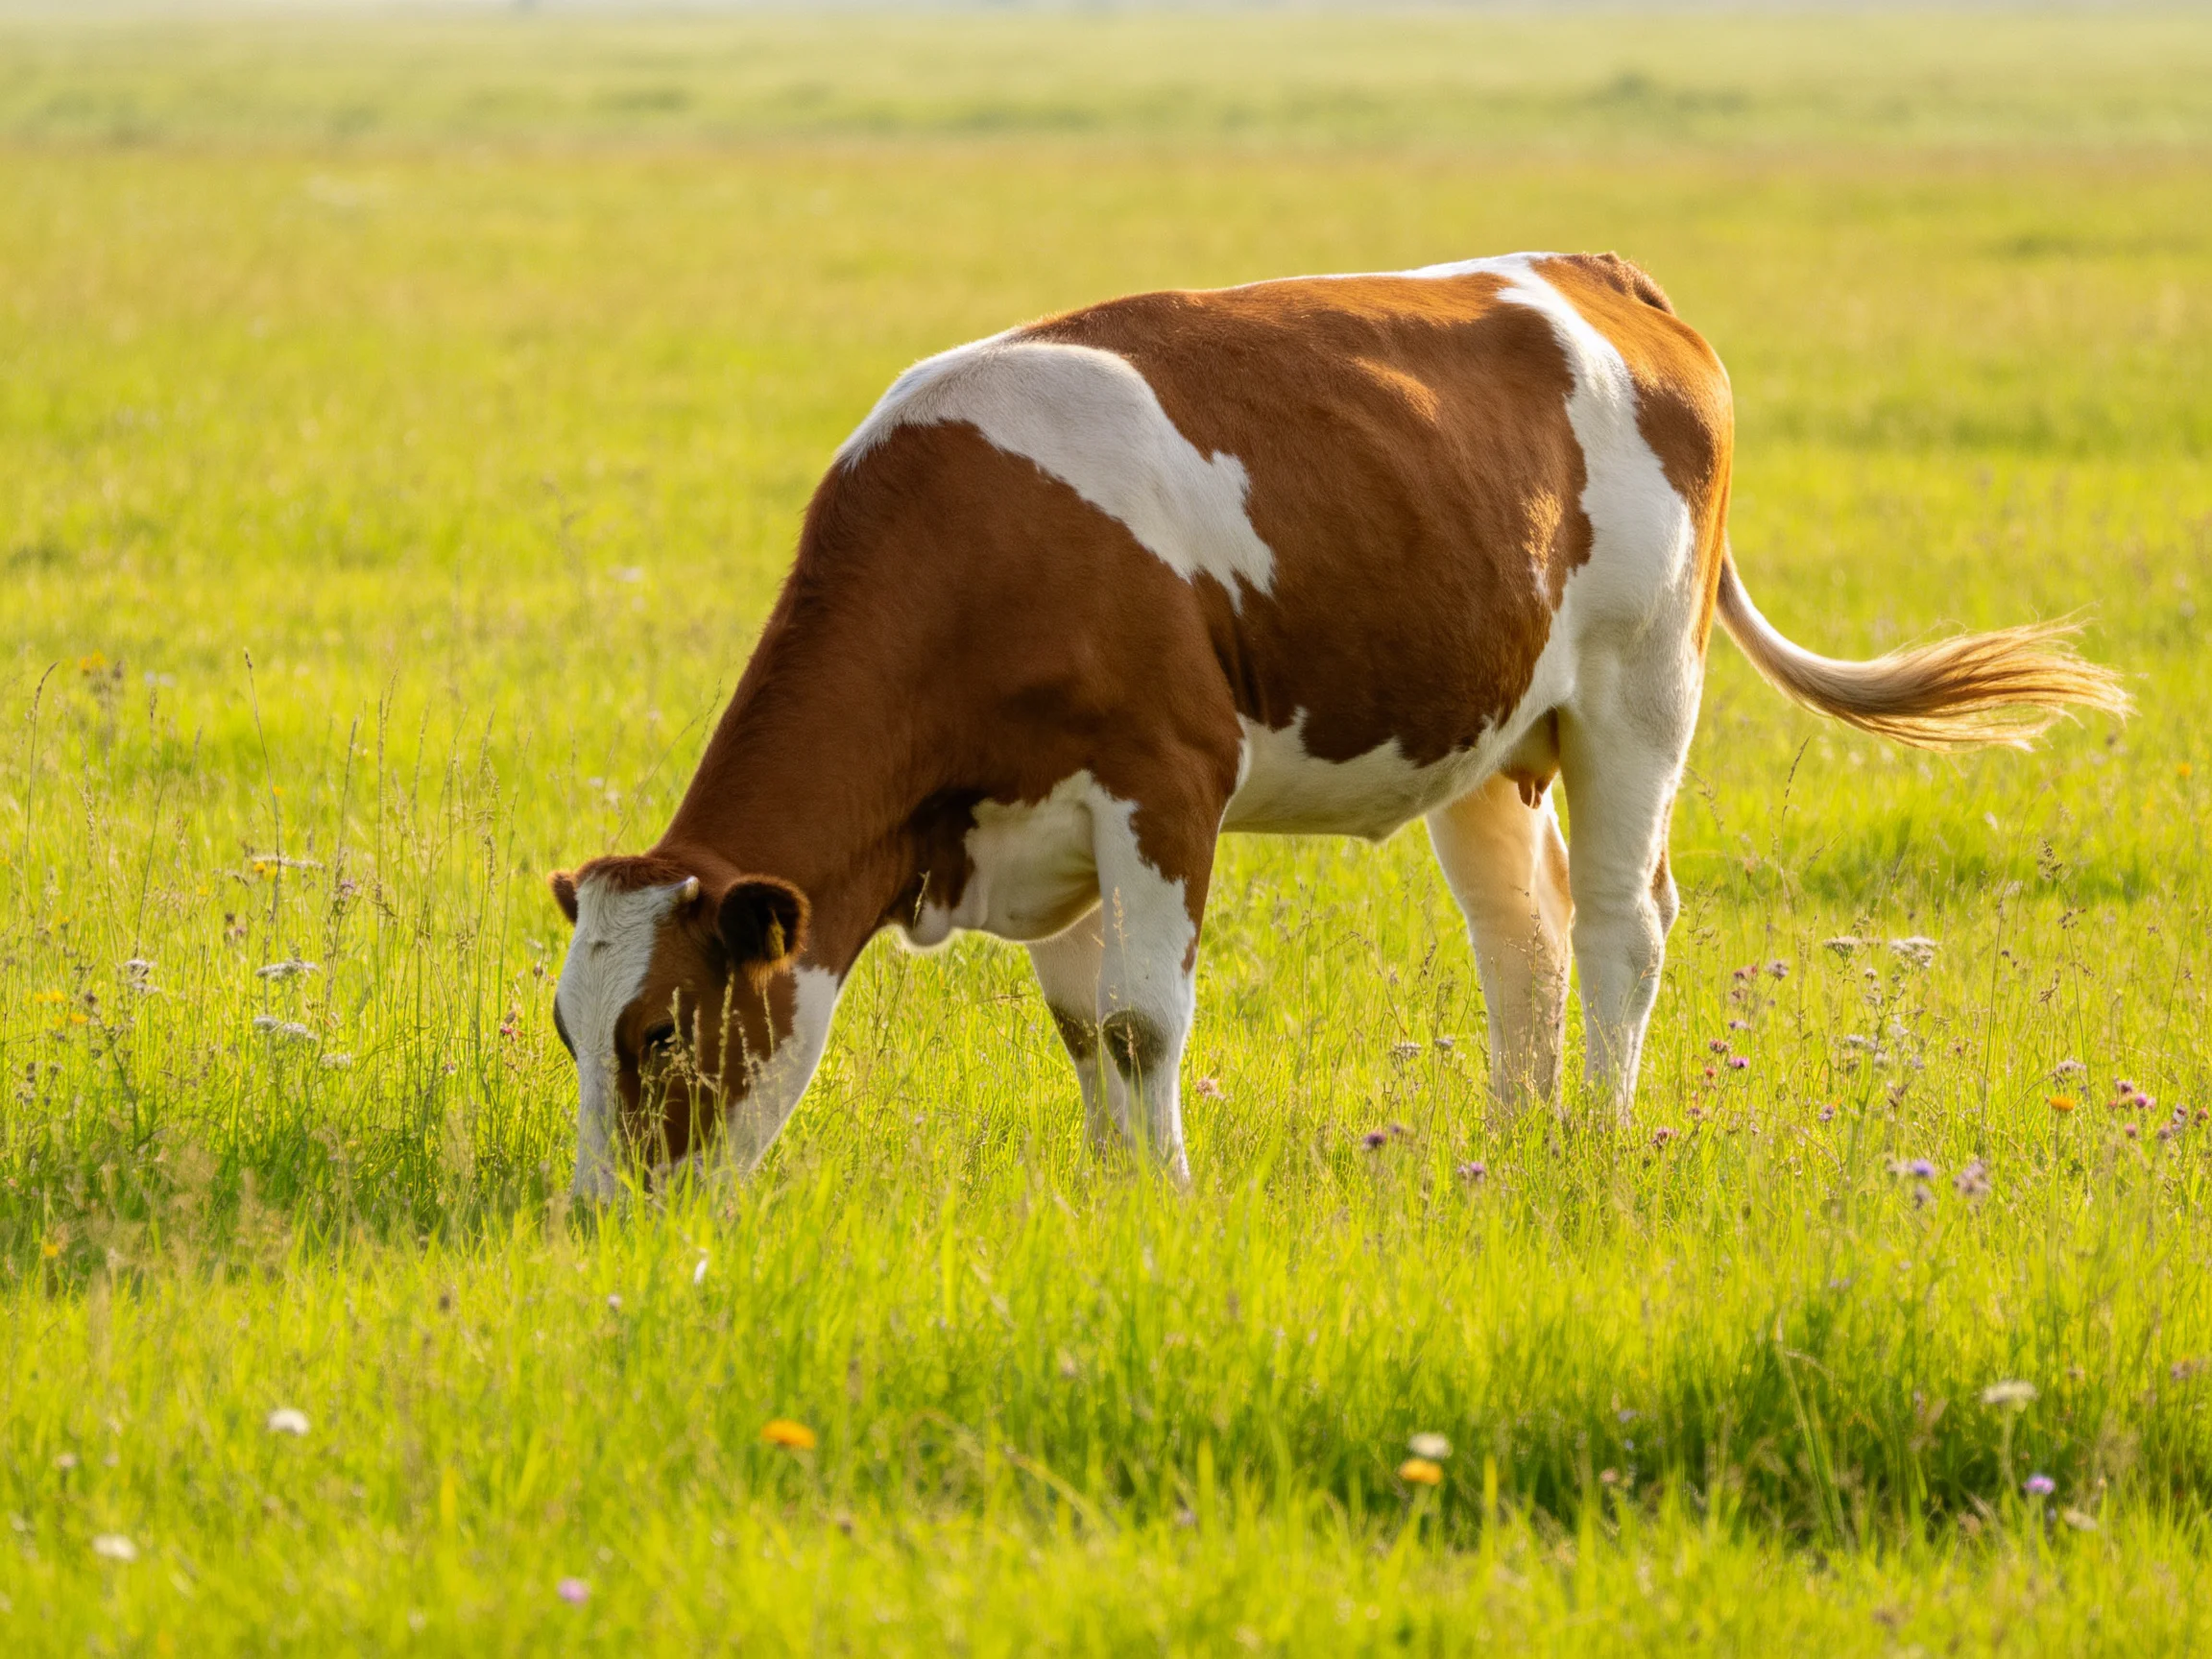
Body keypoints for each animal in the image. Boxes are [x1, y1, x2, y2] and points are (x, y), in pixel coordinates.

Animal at [549, 251, 2125, 1198]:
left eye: (663, 1034)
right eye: (570, 1031)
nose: (602, 1216)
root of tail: (1595, 275)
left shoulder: (1164, 782)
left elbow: (1143, 1018)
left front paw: (1166, 1197)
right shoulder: (1035, 823)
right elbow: (1080, 1025)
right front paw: (1111, 1190)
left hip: (1639, 688)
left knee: (1623, 924)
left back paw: (1599, 1138)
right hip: (1488, 738)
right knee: (1521, 936)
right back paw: (1513, 1138)